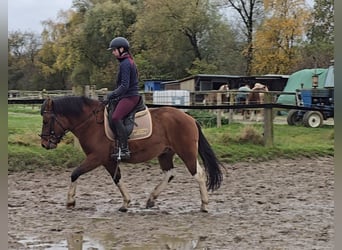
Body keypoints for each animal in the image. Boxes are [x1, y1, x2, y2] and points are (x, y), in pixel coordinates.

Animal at [38, 95, 223, 213]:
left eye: (46, 121)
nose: (45, 144)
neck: (90, 123)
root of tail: (190, 118)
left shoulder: (96, 158)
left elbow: (75, 173)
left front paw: (70, 201)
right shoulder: (108, 160)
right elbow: (117, 178)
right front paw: (125, 203)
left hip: (186, 151)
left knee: (198, 174)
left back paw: (204, 205)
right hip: (165, 153)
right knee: (169, 174)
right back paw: (151, 199)